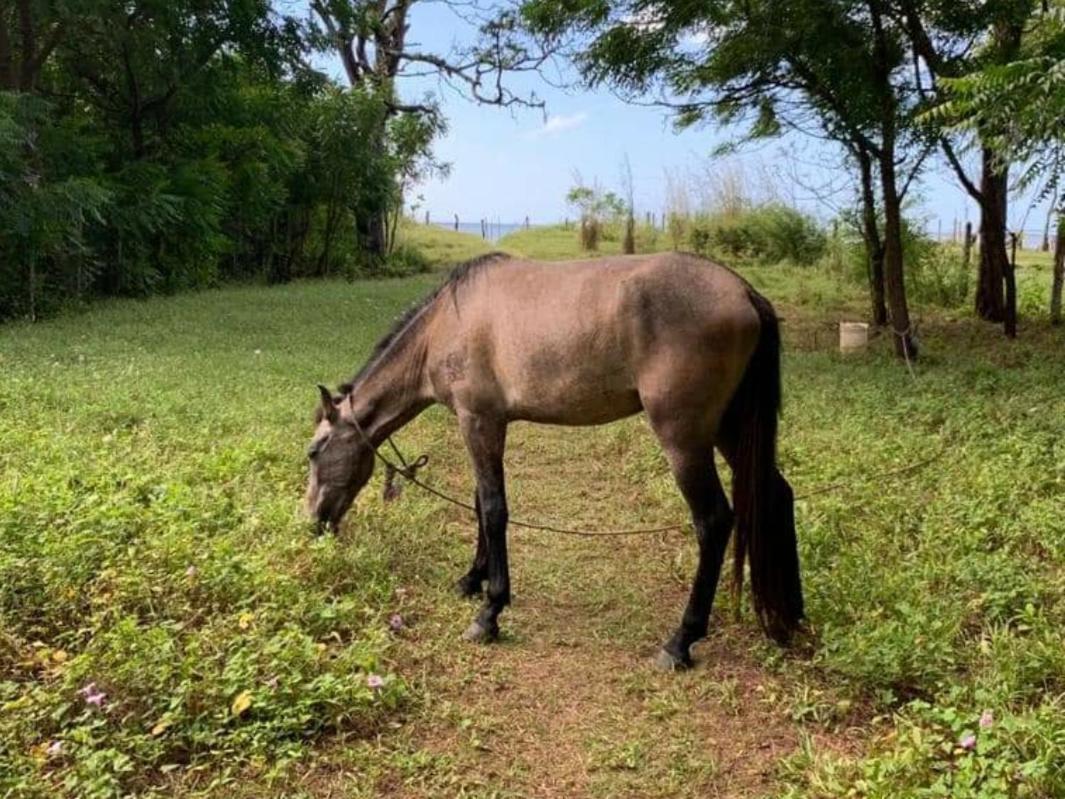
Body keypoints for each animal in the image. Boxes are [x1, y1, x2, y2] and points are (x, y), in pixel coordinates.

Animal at [304, 250, 800, 669]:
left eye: (313, 451)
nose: (314, 522)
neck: (447, 323)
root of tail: (744, 292)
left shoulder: (479, 421)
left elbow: (493, 509)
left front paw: (490, 612)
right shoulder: (485, 426)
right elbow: (481, 503)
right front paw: (472, 580)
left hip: (686, 439)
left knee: (713, 521)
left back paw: (681, 641)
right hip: (730, 428)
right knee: (776, 493)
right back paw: (789, 616)